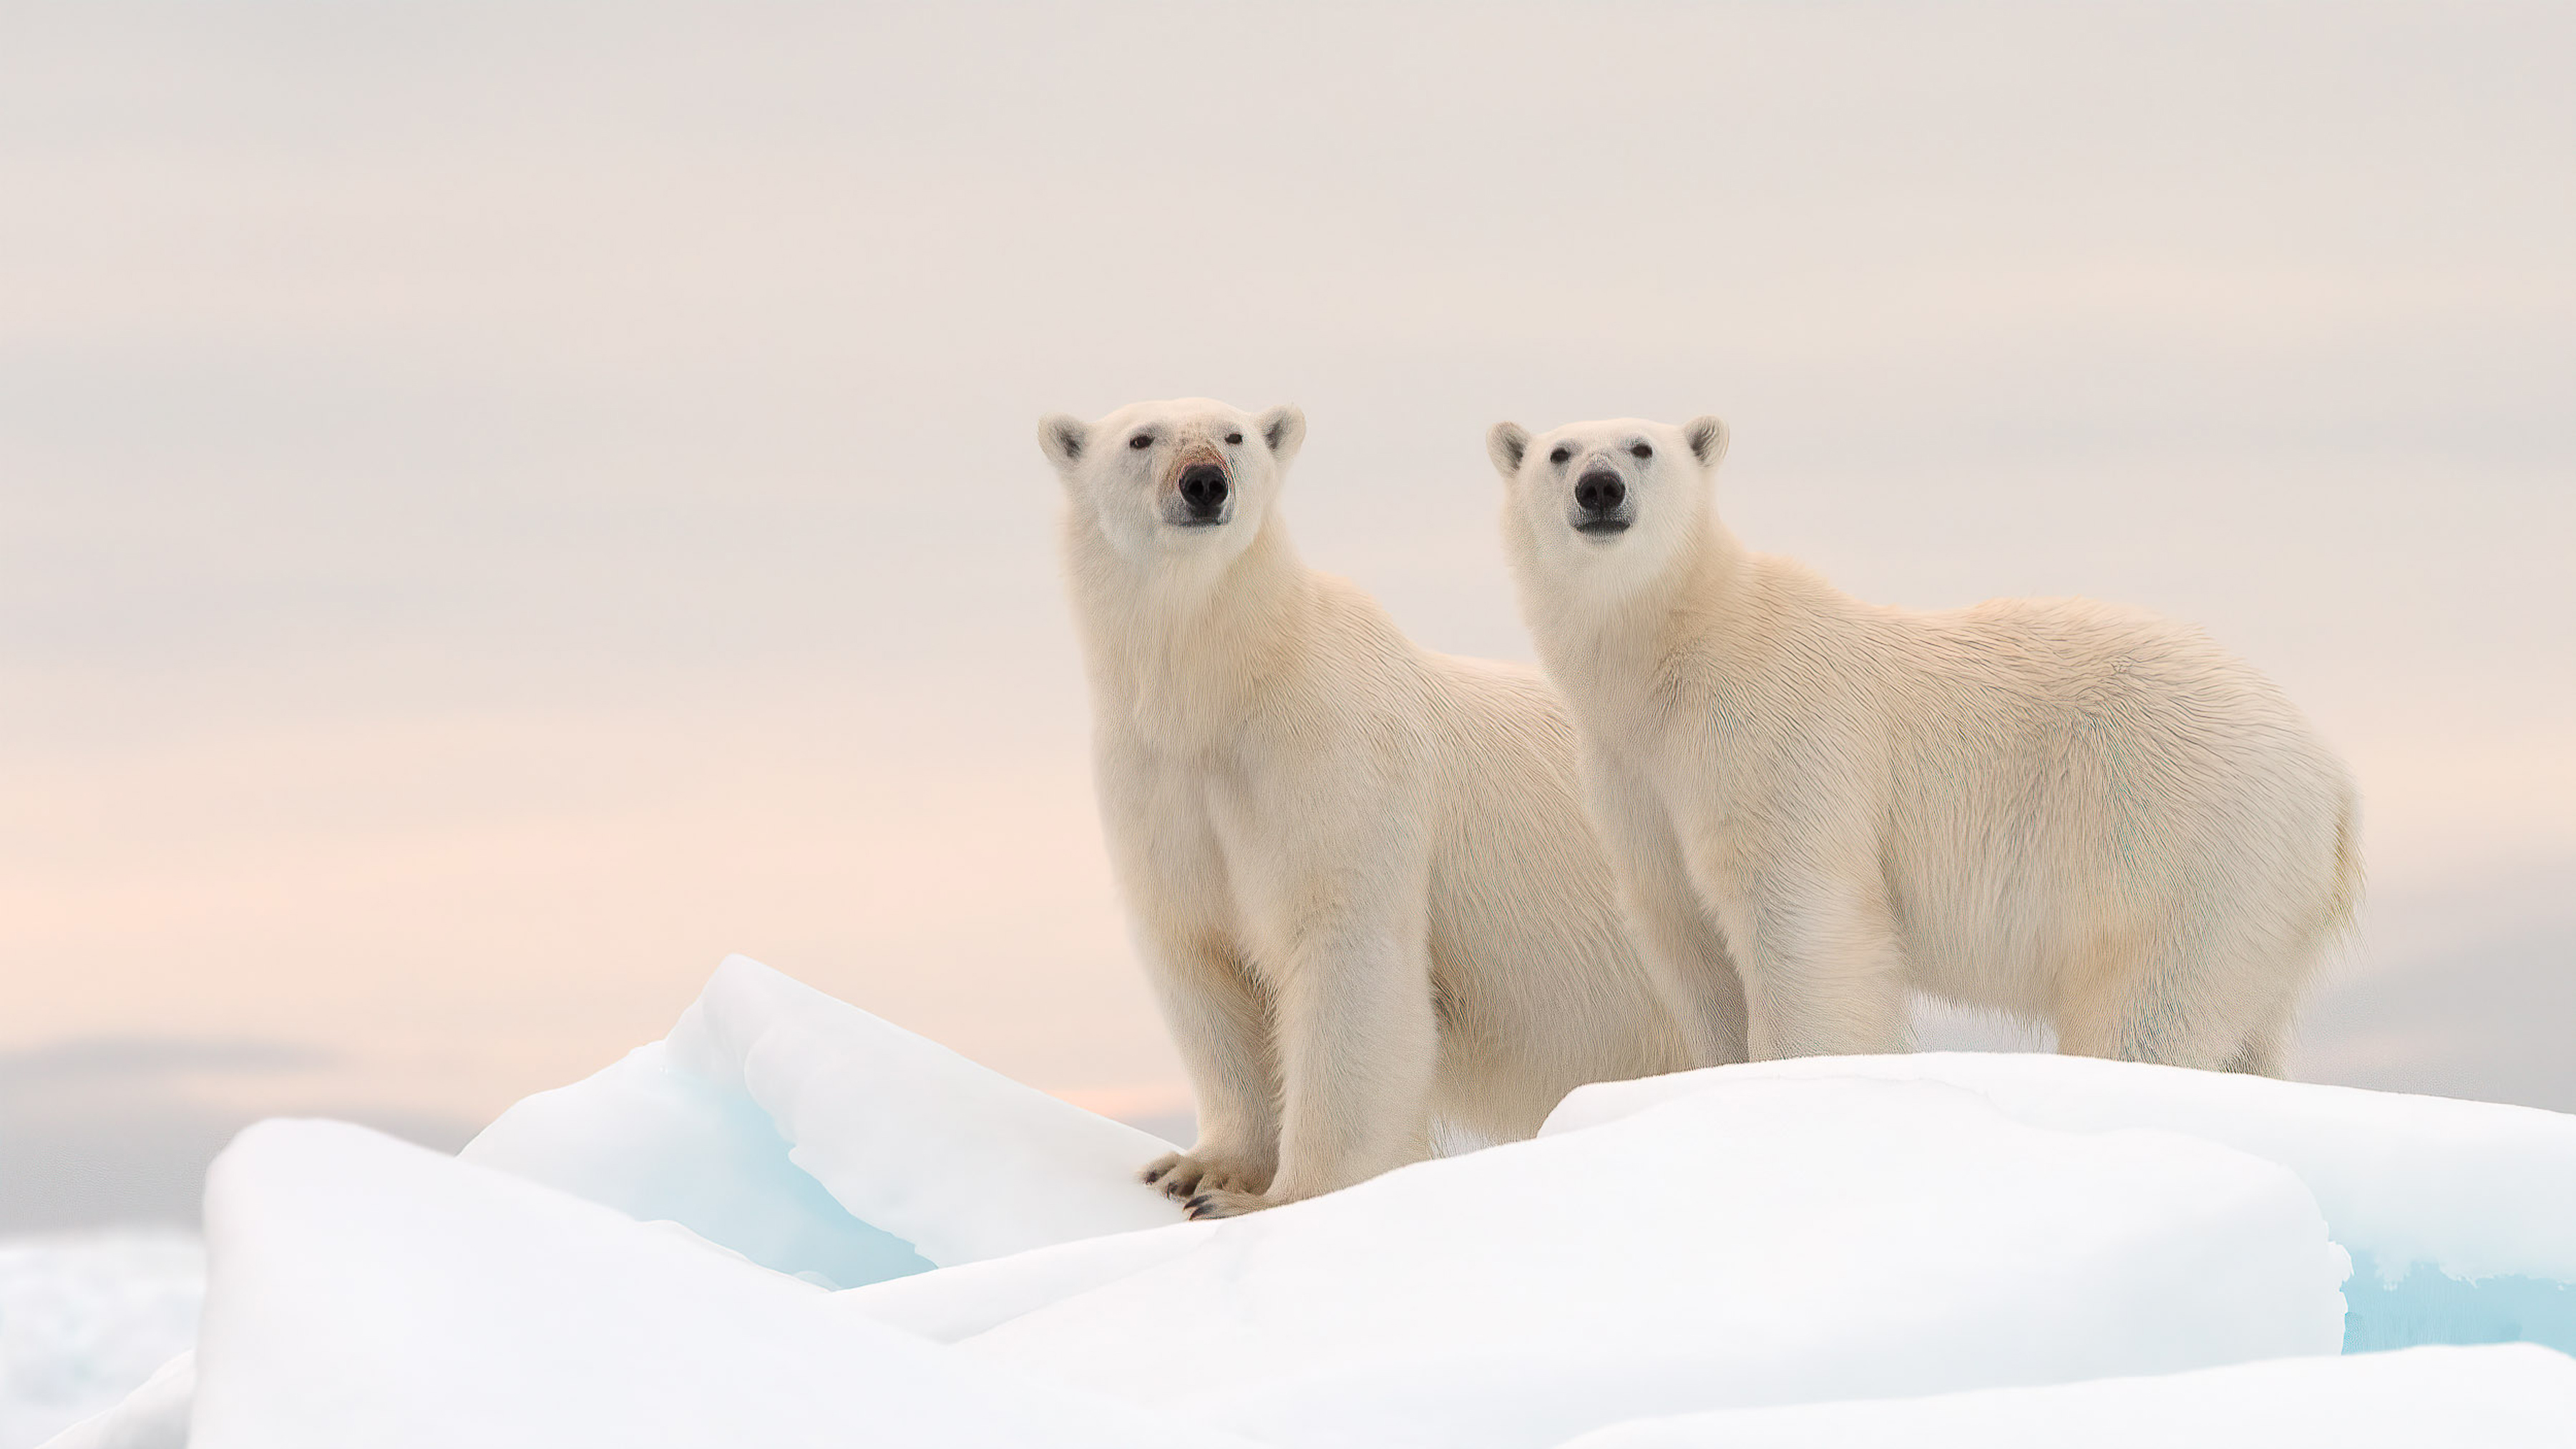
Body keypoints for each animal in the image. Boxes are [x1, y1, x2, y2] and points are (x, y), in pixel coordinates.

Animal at [1040, 398, 1703, 1218]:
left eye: (1234, 435)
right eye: (1141, 439)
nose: (1204, 482)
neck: (1224, 687)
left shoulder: (1331, 760)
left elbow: (1347, 952)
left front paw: (1285, 1196)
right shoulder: (1158, 785)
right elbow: (1201, 954)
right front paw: (1198, 1172)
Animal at [1487, 413, 2360, 1074]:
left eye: (1643, 447)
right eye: (1558, 451)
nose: (1600, 488)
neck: (1677, 650)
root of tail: (2330, 780)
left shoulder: (1774, 737)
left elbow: (1803, 919)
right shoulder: (1634, 778)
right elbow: (1688, 936)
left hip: (2180, 844)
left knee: (2148, 1005)